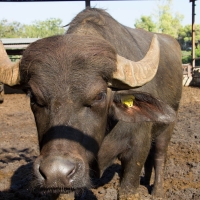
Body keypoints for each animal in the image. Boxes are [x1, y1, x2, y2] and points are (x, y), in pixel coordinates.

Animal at [0, 7, 182, 198]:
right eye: (33, 97)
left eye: (99, 96)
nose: (56, 172)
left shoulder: (137, 151)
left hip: (168, 127)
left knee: (159, 156)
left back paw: (157, 191)